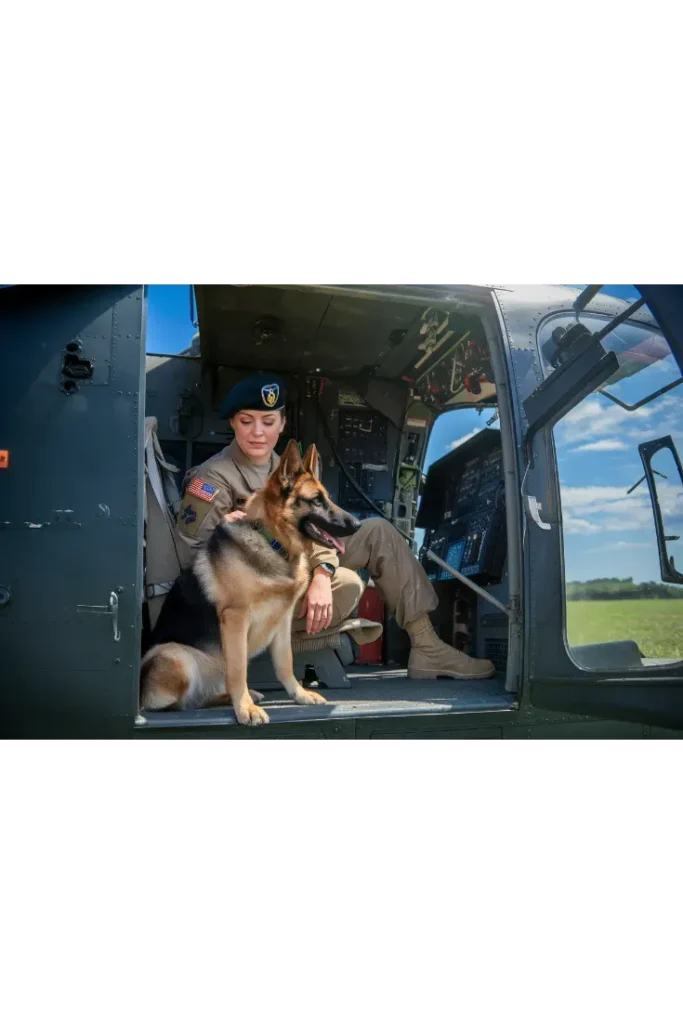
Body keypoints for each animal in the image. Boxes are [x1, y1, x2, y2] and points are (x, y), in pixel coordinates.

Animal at [140, 444, 362, 724]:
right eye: (315, 500)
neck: (272, 543)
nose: (358, 524)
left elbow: (285, 663)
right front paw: (245, 708)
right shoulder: (236, 619)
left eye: (328, 498)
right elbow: (238, 671)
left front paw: (298, 695)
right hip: (175, 655)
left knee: (201, 697)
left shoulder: (283, 619)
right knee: (183, 704)